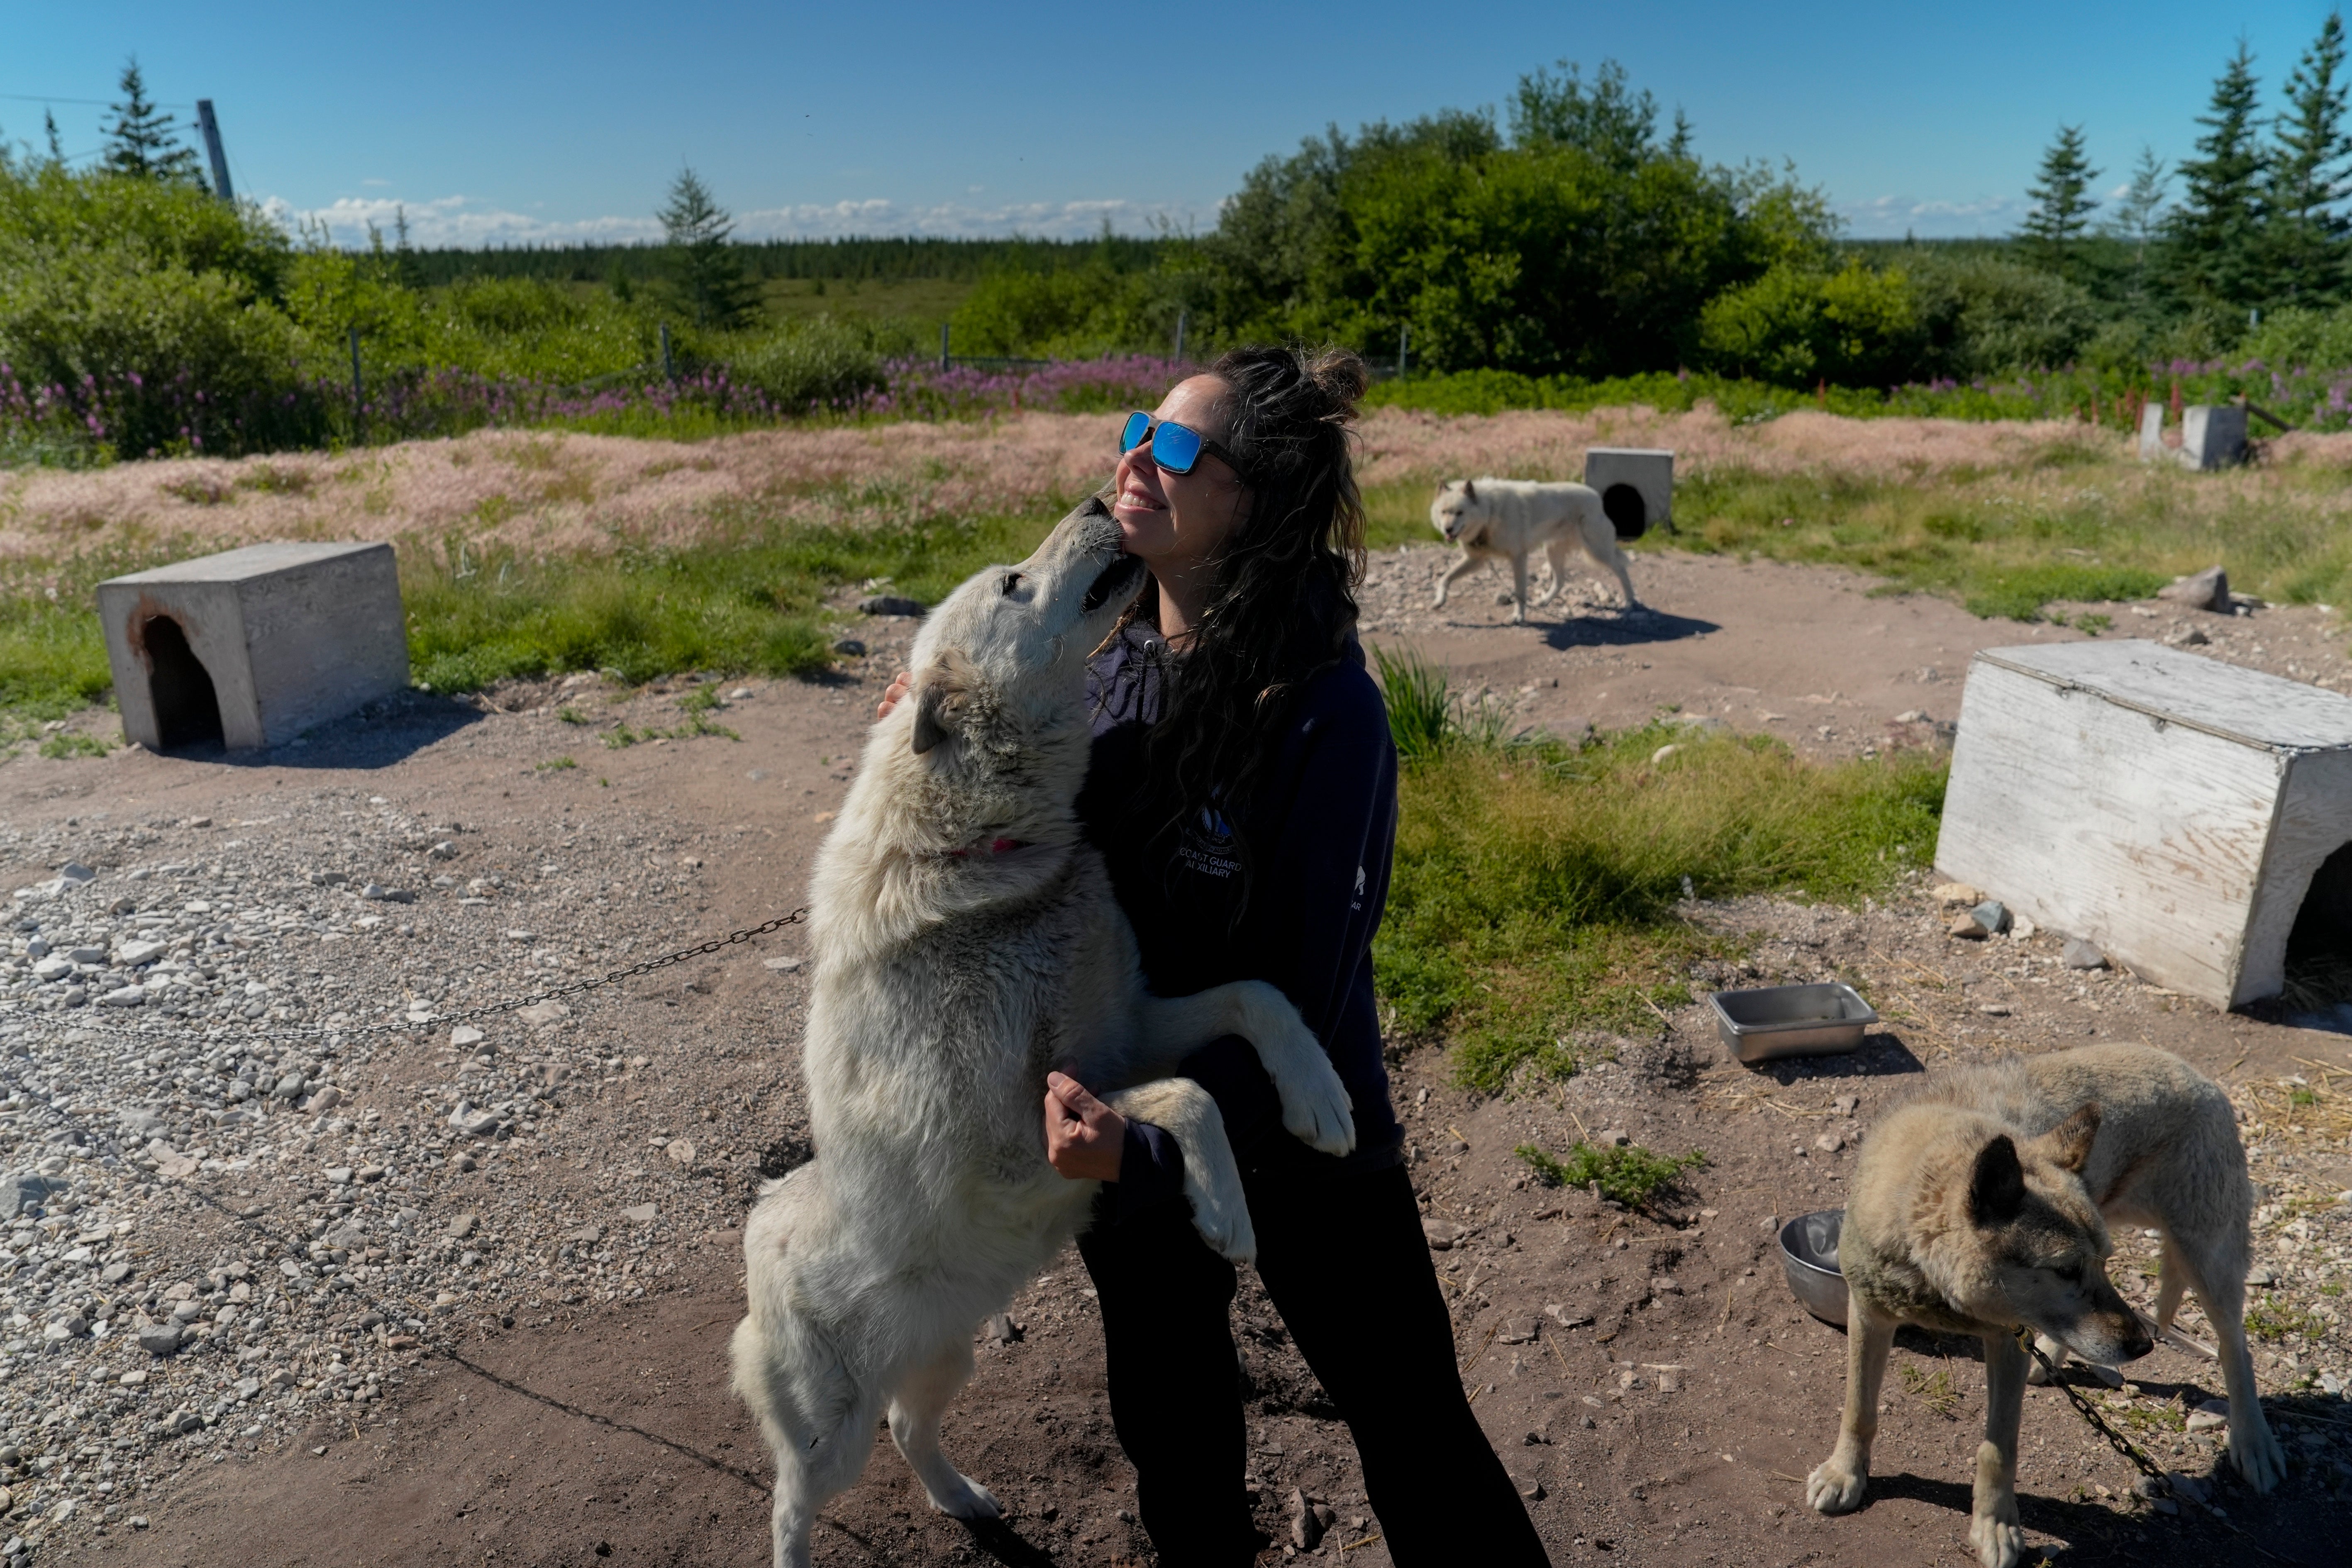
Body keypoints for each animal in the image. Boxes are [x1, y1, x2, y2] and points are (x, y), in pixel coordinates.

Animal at [734, 500, 1364, 1568]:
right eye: (1012, 583)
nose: (1101, 504)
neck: (989, 853)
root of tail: (758, 1230)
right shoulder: (1013, 1140)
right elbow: (1189, 1092)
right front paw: (1225, 1214)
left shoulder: (1131, 1026)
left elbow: (1258, 994)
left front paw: (1318, 1098)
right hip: (829, 1430)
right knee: (787, 1501)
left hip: (946, 1351)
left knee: (912, 1427)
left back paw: (966, 1498)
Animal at [1420, 479, 1646, 625]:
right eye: (1444, 512)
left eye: (1460, 513)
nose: (1448, 530)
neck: (1489, 512)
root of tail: (1597, 498)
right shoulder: (1476, 560)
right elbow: (1445, 578)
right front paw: (1439, 601)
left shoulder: (1518, 558)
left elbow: (1520, 592)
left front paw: (1519, 617)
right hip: (1553, 552)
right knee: (1561, 580)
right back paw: (1544, 601)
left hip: (1598, 551)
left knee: (1621, 569)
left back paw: (1630, 602)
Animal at [1806, 1044, 2286, 1568]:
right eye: (2067, 1269)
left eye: (2096, 1264)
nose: (2141, 1347)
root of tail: (2199, 1076)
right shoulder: (1869, 1314)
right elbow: (1858, 1408)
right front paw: (1844, 1474)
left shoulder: (2005, 1341)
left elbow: (1998, 1449)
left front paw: (1995, 1527)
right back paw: (2053, 1360)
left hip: (2208, 1263)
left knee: (2235, 1346)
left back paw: (2253, 1441)